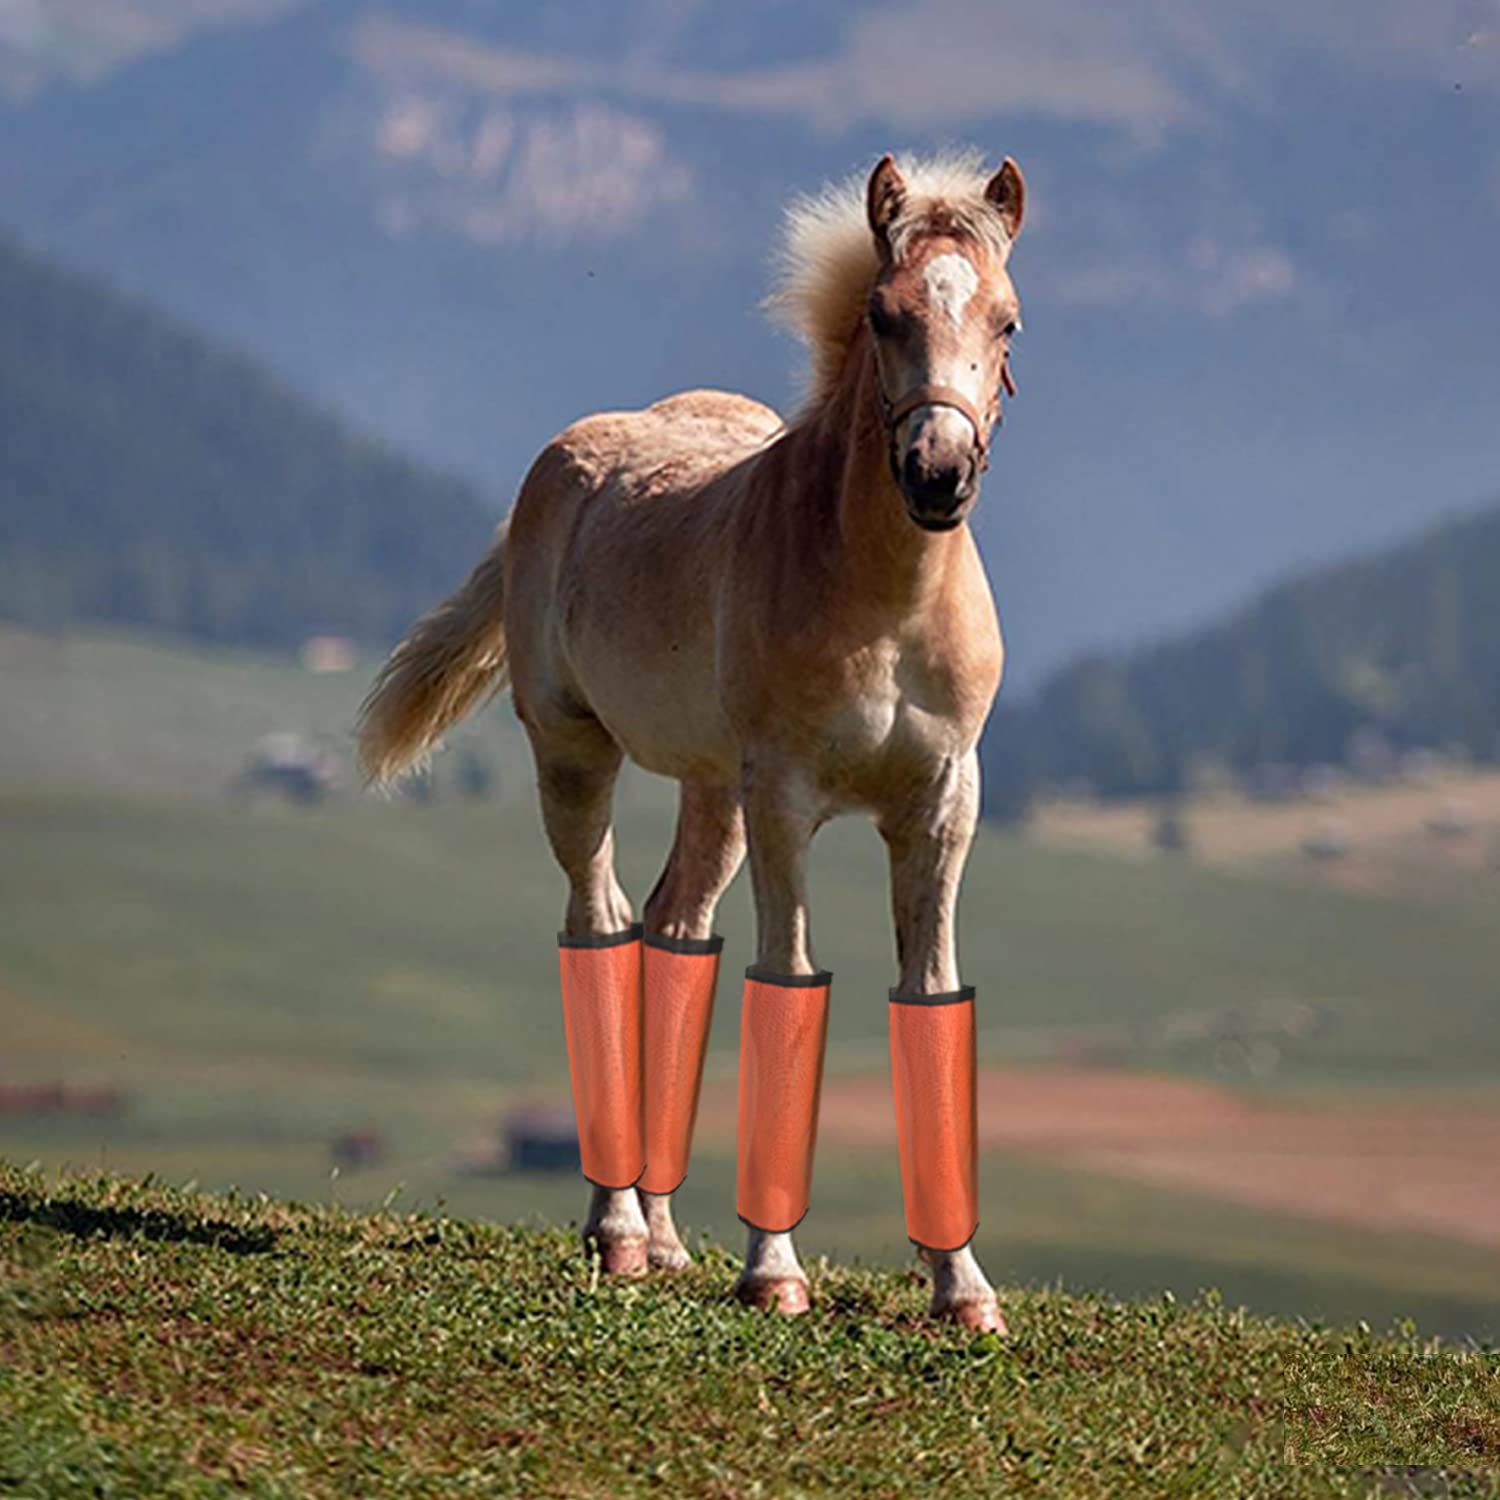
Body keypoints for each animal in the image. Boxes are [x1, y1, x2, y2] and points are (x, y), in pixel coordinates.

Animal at [358, 150, 1026, 1331]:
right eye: (884, 313)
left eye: (1008, 322)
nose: (938, 474)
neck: (884, 601)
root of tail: (560, 463)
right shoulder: (787, 798)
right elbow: (785, 979)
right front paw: (774, 1274)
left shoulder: (944, 800)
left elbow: (929, 994)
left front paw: (965, 1292)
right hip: (578, 753)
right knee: (601, 922)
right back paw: (620, 1234)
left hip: (713, 792)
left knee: (673, 937)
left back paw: (664, 1239)